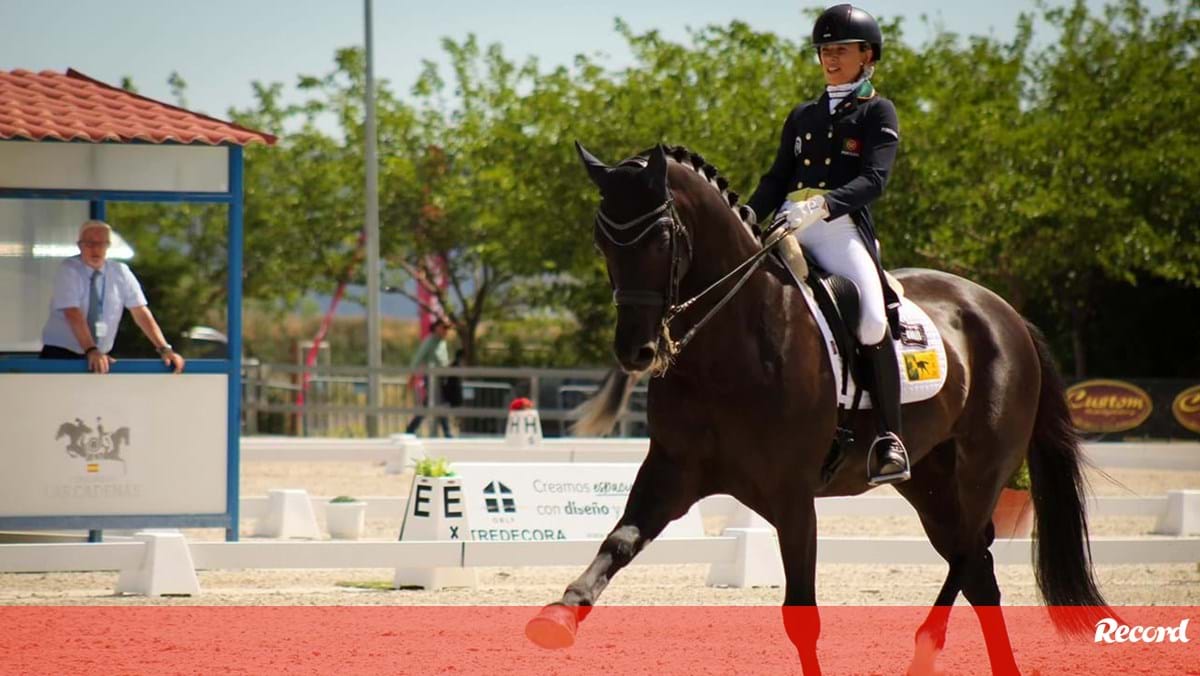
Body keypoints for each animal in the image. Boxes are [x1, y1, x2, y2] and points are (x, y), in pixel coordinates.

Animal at [528, 141, 1113, 672]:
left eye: (663, 237)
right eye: (602, 239)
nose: (636, 351)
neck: (733, 342)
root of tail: (1004, 312)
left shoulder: (792, 496)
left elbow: (801, 612)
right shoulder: (672, 471)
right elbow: (619, 542)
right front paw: (560, 615)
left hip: (981, 470)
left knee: (972, 553)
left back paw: (927, 645)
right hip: (929, 482)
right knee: (977, 570)